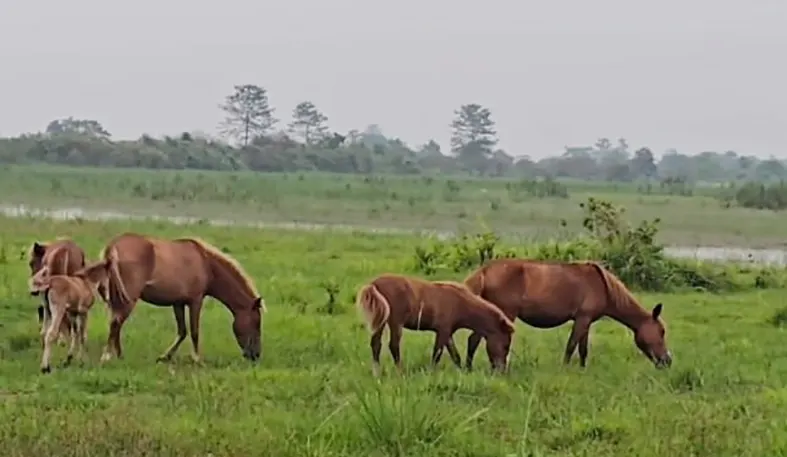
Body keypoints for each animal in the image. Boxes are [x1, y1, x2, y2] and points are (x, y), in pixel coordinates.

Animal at [98, 232, 266, 364]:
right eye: (256, 322)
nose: (256, 355)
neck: (206, 263)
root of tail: (113, 247)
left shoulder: (178, 303)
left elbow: (182, 331)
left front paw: (165, 357)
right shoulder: (196, 301)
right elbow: (194, 331)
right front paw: (197, 359)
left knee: (116, 324)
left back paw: (120, 356)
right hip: (128, 299)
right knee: (116, 323)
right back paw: (107, 356)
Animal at [355, 273, 516, 377]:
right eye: (505, 346)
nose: (501, 371)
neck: (460, 302)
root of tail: (374, 284)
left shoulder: (448, 332)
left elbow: (455, 355)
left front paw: (462, 372)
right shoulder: (442, 330)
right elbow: (437, 353)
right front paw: (431, 373)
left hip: (381, 321)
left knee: (376, 344)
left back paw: (376, 374)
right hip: (395, 322)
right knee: (393, 345)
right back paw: (400, 372)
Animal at [461, 258, 672, 370]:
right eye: (661, 332)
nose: (667, 361)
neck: (603, 286)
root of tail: (484, 270)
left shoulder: (587, 321)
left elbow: (583, 349)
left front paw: (582, 370)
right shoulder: (582, 318)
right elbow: (572, 346)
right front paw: (565, 369)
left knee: (473, 340)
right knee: (475, 340)